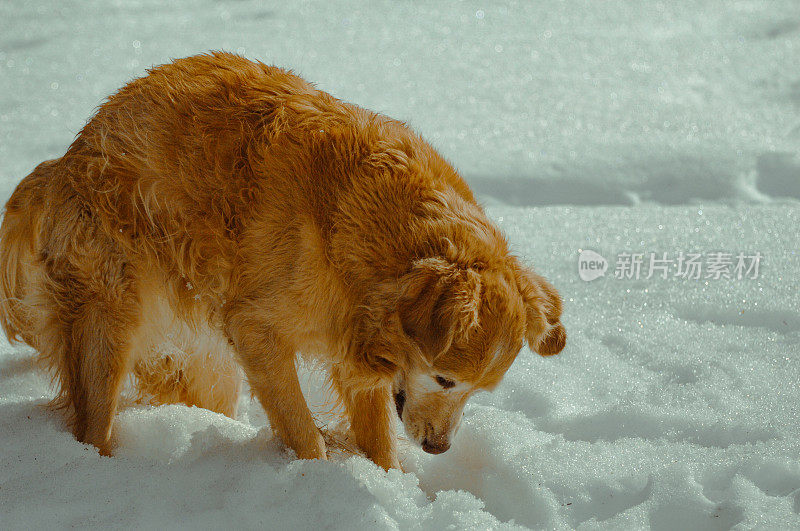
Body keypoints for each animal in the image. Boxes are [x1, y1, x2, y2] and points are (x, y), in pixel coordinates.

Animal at [0, 53, 564, 470]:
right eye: (446, 380)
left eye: (482, 390)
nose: (438, 449)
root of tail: (63, 162)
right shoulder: (256, 330)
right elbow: (300, 427)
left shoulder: (355, 357)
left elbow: (377, 437)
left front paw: (392, 487)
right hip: (108, 322)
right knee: (92, 423)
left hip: (209, 371)